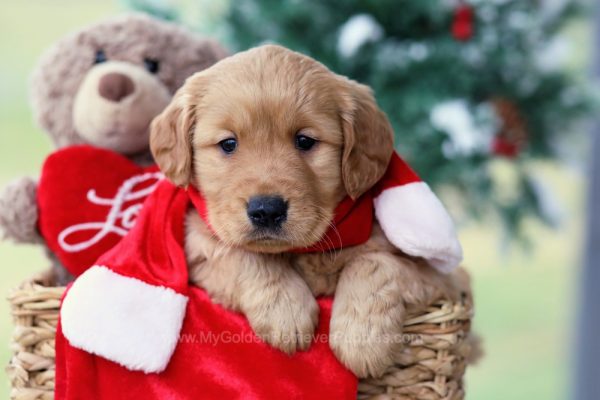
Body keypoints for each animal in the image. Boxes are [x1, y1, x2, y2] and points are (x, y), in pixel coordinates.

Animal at [151, 44, 460, 378]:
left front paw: (362, 339)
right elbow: (240, 253)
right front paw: (285, 310)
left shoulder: (442, 279)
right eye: (228, 144)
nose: (266, 210)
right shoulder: (198, 243)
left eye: (305, 140)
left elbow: (375, 263)